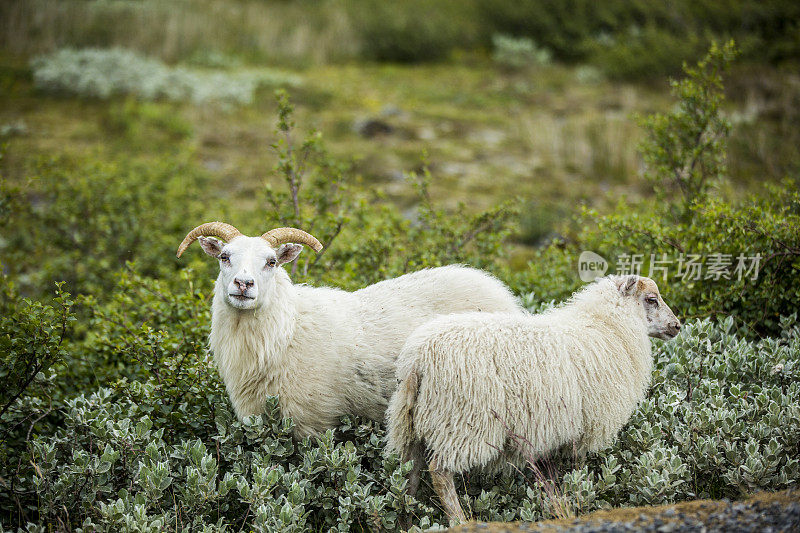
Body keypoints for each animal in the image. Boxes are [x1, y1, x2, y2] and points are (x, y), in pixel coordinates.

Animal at [177, 220, 520, 436]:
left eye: (272, 262)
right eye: (224, 256)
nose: (243, 284)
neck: (288, 330)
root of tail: (503, 293)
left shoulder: (311, 422)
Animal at [388, 276, 680, 520]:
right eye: (651, 299)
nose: (677, 326)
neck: (606, 327)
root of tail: (418, 358)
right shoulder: (584, 428)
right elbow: (576, 471)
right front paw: (576, 497)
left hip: (411, 420)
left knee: (409, 473)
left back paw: (406, 517)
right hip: (462, 421)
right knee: (439, 473)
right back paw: (458, 519)